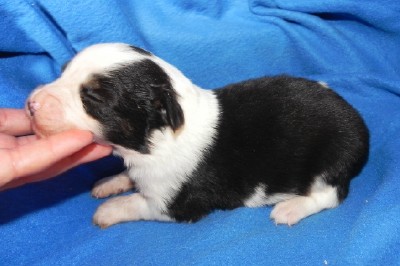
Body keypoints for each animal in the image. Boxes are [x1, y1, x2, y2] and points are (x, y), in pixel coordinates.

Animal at [25, 42, 368, 228]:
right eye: (63, 72)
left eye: (92, 97)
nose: (31, 105)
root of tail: (361, 127)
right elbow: (130, 178)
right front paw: (111, 182)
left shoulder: (173, 203)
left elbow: (136, 203)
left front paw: (108, 209)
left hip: (331, 159)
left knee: (330, 195)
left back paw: (290, 208)